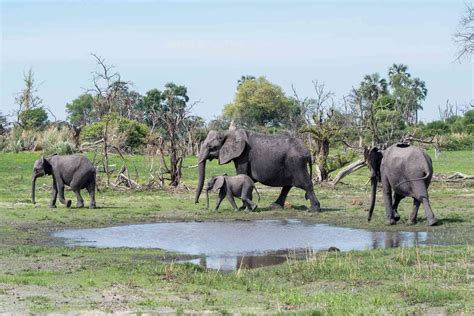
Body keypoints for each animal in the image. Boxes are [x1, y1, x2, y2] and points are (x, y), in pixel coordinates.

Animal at [193, 128, 322, 212]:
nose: (197, 203)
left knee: (306, 184)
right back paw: (274, 207)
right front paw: (247, 208)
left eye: (212, 147)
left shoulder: (243, 155)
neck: (227, 132)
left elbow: (242, 173)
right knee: (288, 186)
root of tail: (308, 152)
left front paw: (243, 208)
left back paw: (313, 210)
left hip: (296, 163)